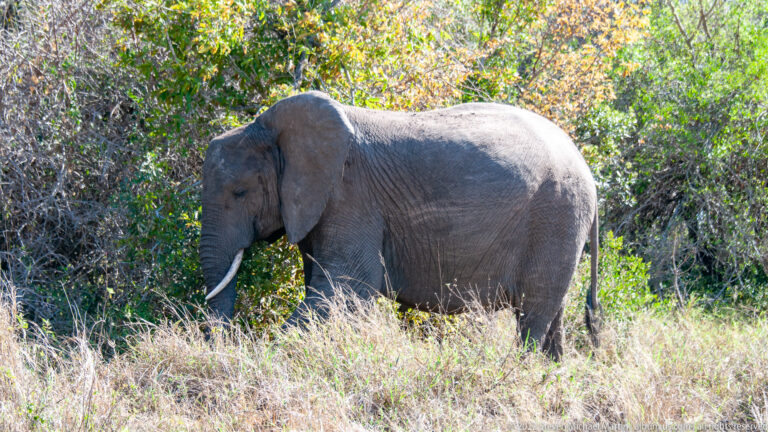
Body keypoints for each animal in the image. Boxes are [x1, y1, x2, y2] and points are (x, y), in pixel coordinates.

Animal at [200, 91, 600, 360]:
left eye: (239, 192)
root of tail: (589, 173)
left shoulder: (351, 197)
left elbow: (346, 285)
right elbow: (326, 285)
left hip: (557, 217)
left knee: (533, 313)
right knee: (552, 314)